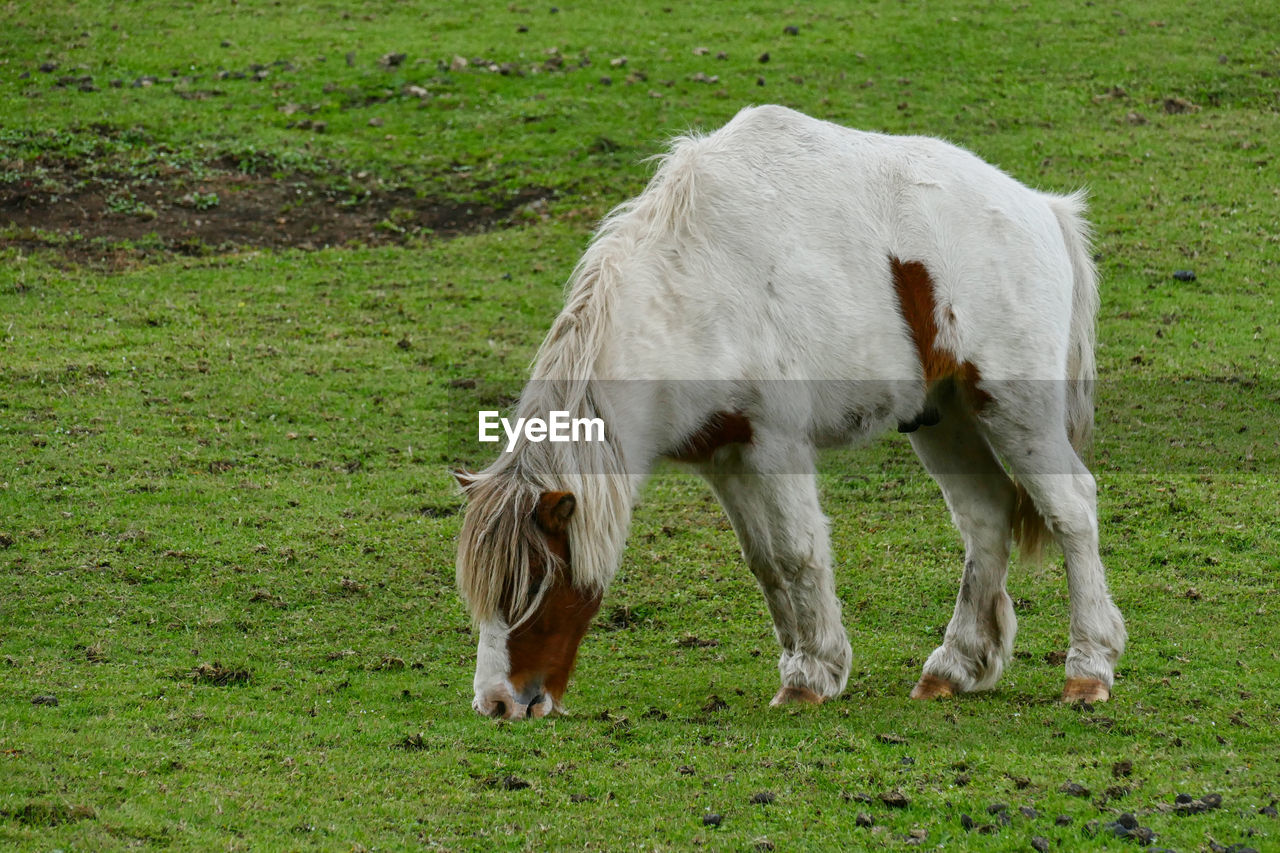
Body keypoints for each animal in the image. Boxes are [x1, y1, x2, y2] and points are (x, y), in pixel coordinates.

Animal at [455, 104, 1126, 717]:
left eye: (537, 585)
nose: (497, 704)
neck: (689, 288)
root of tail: (1044, 208)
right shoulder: (724, 456)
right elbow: (766, 564)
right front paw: (808, 666)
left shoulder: (775, 445)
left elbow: (797, 552)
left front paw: (812, 676)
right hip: (946, 417)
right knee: (986, 516)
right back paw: (955, 666)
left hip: (1014, 407)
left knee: (1071, 509)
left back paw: (1088, 669)